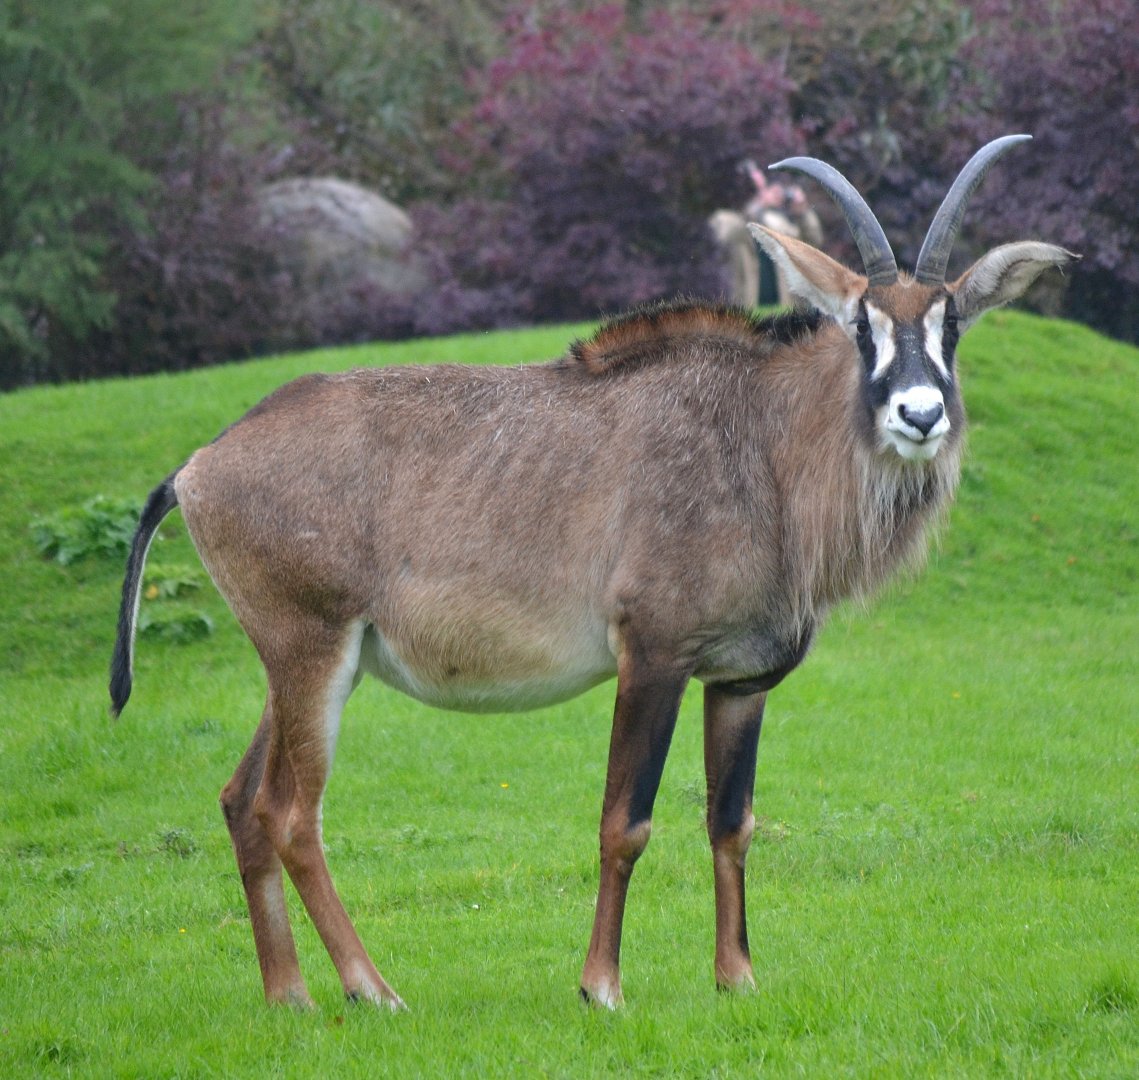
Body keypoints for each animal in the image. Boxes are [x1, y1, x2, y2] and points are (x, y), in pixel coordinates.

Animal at [111, 135, 1073, 1010]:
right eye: (862, 324)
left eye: (951, 324)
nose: (920, 414)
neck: (761, 446)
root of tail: (199, 464)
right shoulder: (651, 656)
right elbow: (625, 823)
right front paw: (600, 987)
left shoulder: (740, 681)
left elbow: (732, 823)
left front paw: (736, 979)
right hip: (311, 652)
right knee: (289, 814)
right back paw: (370, 990)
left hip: (305, 666)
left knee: (240, 800)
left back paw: (290, 997)